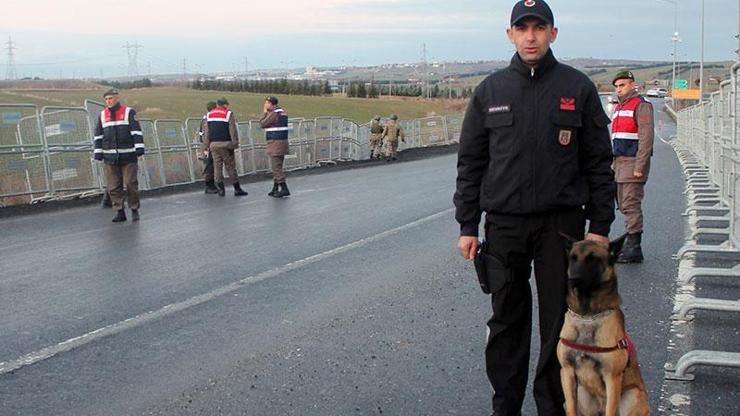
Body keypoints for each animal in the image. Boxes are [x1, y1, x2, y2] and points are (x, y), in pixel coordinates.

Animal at [556, 237, 652, 416]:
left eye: (593, 259)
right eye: (573, 258)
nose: (572, 279)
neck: (587, 316)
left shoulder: (612, 378)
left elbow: (611, 410)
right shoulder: (567, 373)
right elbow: (571, 409)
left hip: (633, 396)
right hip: (582, 395)